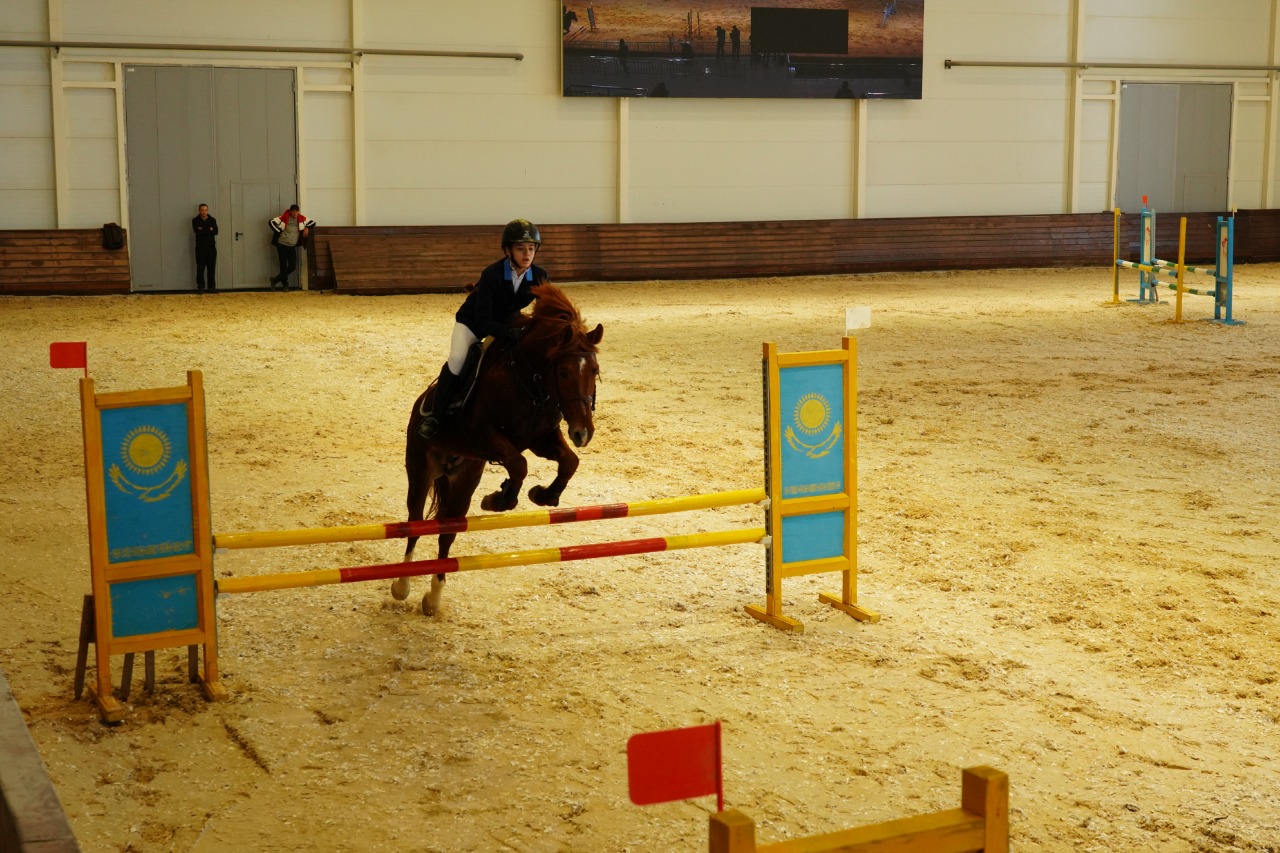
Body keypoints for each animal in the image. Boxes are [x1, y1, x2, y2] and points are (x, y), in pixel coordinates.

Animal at [394, 281, 604, 614]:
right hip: (421, 469)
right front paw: (500, 499)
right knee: (415, 522)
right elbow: (520, 465)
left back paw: (434, 597)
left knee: (447, 533)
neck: (530, 380)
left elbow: (569, 462)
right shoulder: (485, 437)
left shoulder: (540, 438)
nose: (583, 433)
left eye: (594, 371)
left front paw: (543, 495)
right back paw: (401, 585)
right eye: (564, 373)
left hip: (464, 478)